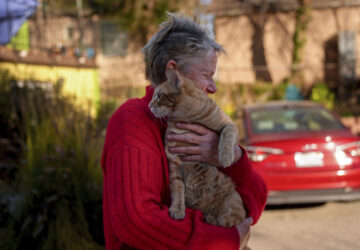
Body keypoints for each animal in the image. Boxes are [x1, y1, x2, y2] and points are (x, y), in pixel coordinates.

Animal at [148, 69, 246, 228]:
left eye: (159, 95)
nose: (149, 105)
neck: (187, 117)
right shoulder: (174, 163)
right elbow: (177, 190)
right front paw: (177, 209)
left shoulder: (228, 123)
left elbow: (227, 136)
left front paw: (225, 158)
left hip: (232, 202)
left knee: (225, 223)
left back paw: (210, 217)